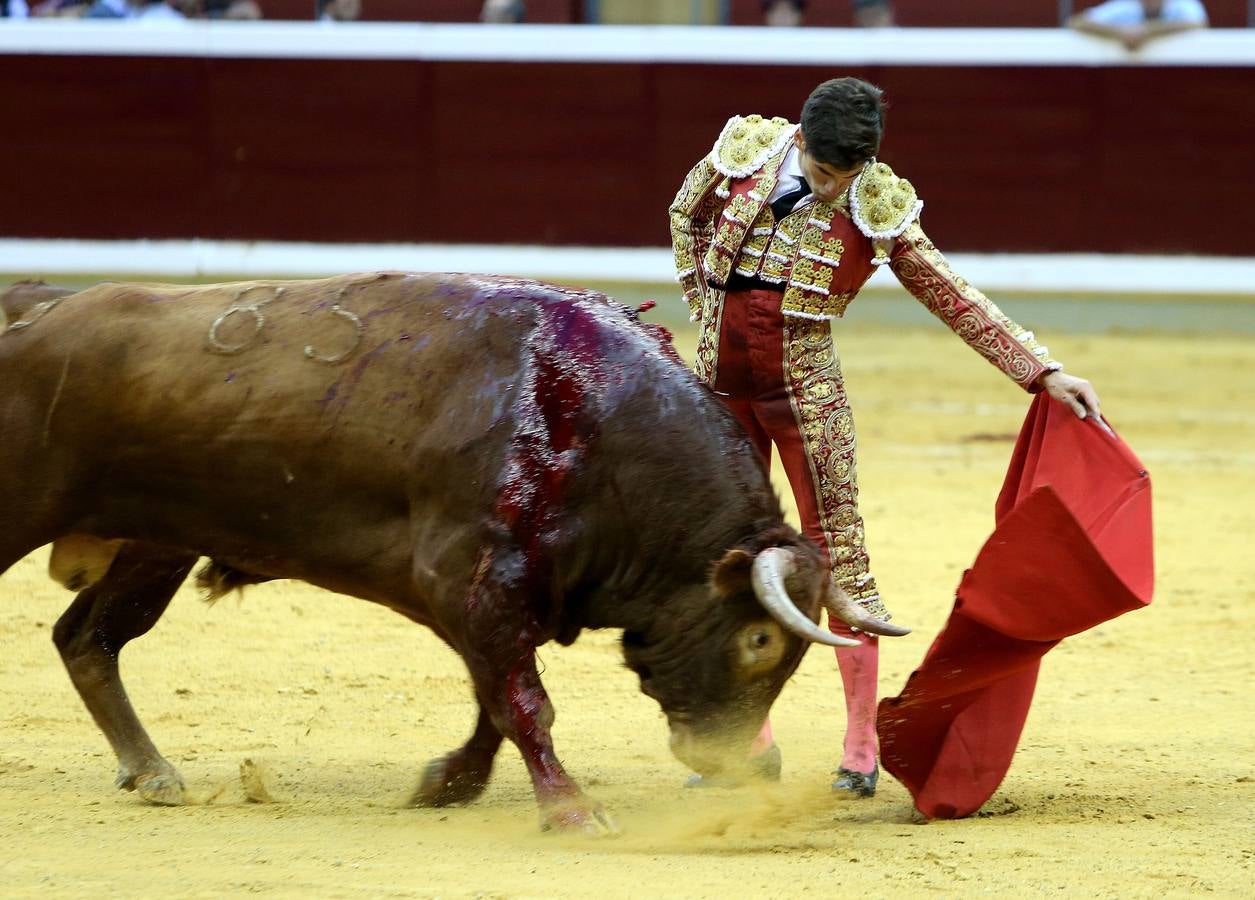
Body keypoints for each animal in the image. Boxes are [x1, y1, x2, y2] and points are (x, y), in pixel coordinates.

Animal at [0, 269, 903, 833]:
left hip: (157, 544)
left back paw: (151, 771)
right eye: (758, 639)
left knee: (87, 637)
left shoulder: (494, 600)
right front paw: (572, 812)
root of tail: (32, 307)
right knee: (85, 633)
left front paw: (447, 784)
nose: (735, 766)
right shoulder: (475, 586)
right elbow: (522, 703)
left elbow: (492, 705)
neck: (599, 429)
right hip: (32, 512)